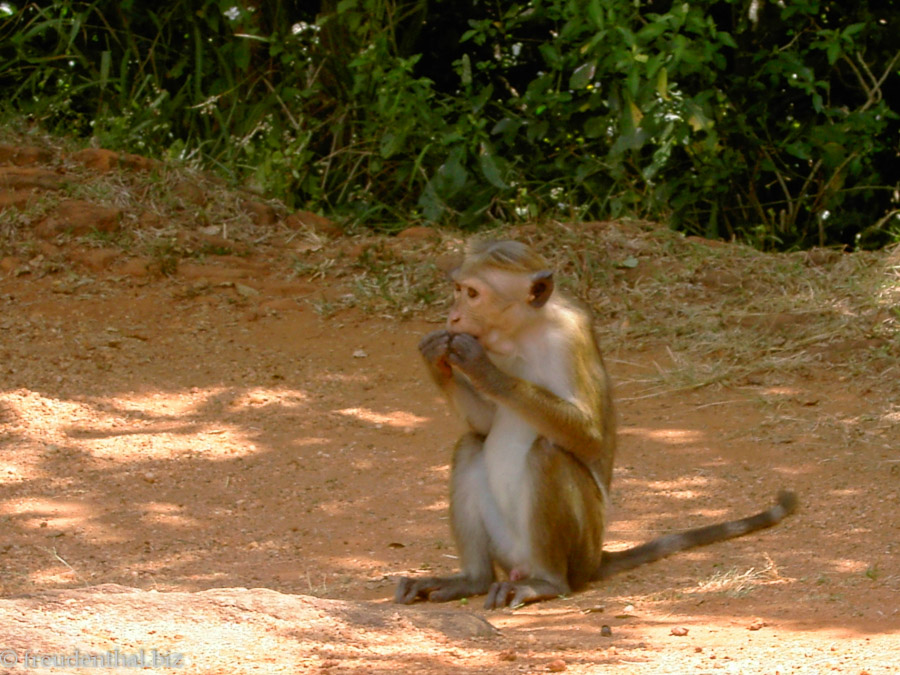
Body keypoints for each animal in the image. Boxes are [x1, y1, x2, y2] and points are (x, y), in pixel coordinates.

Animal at [394, 239, 797, 609]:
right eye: (458, 290)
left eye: (473, 294)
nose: (453, 317)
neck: (522, 334)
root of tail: (594, 558)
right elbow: (486, 424)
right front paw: (436, 359)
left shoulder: (569, 338)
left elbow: (589, 438)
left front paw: (484, 371)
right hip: (507, 545)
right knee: (471, 444)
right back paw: (473, 580)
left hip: (580, 547)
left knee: (547, 453)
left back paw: (547, 583)